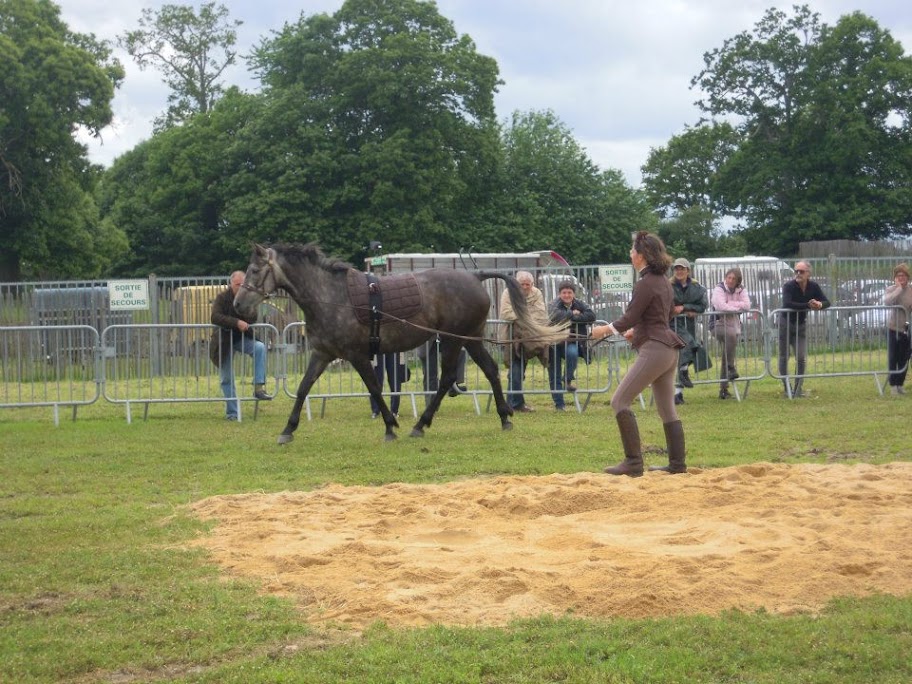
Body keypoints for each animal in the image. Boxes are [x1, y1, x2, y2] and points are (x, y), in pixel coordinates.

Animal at [233, 243, 569, 442]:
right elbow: (303, 388)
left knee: (447, 377)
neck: (332, 296)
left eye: (255, 270)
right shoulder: (323, 353)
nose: (238, 305)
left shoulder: (357, 355)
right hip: (469, 339)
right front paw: (288, 430)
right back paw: (503, 416)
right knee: (489, 370)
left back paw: (422, 424)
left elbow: (374, 387)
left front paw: (389, 426)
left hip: (453, 340)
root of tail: (475, 277)